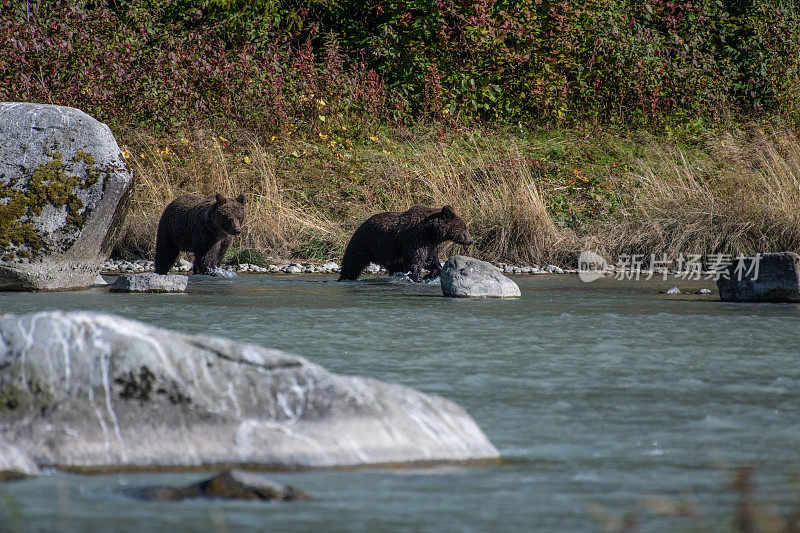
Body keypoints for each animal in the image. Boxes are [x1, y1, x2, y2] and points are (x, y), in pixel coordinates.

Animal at [340, 204, 476, 282]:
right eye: (464, 228)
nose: (471, 240)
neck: (431, 232)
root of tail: (360, 226)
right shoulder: (416, 239)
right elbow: (415, 261)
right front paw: (419, 278)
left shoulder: (431, 245)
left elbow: (431, 261)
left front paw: (429, 275)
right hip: (365, 244)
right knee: (352, 263)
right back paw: (345, 277)